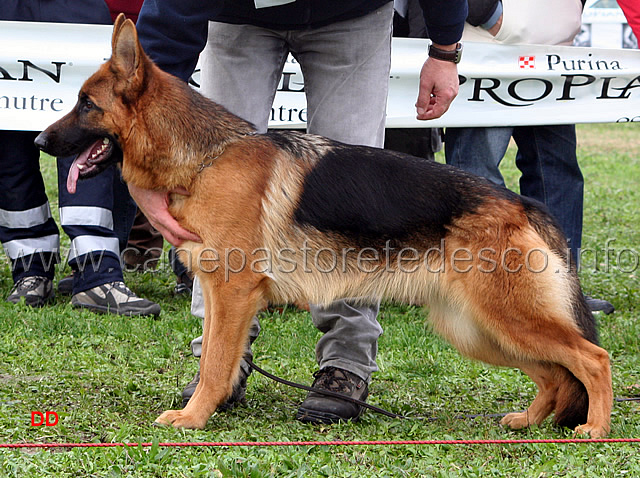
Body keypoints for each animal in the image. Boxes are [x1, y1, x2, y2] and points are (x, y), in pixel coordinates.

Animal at [36, 14, 616, 436]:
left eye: (86, 104)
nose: (40, 141)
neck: (206, 157)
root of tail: (522, 205)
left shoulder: (234, 292)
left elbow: (217, 362)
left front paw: (195, 417)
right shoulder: (222, 297)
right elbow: (218, 358)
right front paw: (209, 406)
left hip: (505, 320)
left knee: (593, 358)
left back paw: (594, 430)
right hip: (478, 329)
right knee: (554, 374)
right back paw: (530, 421)